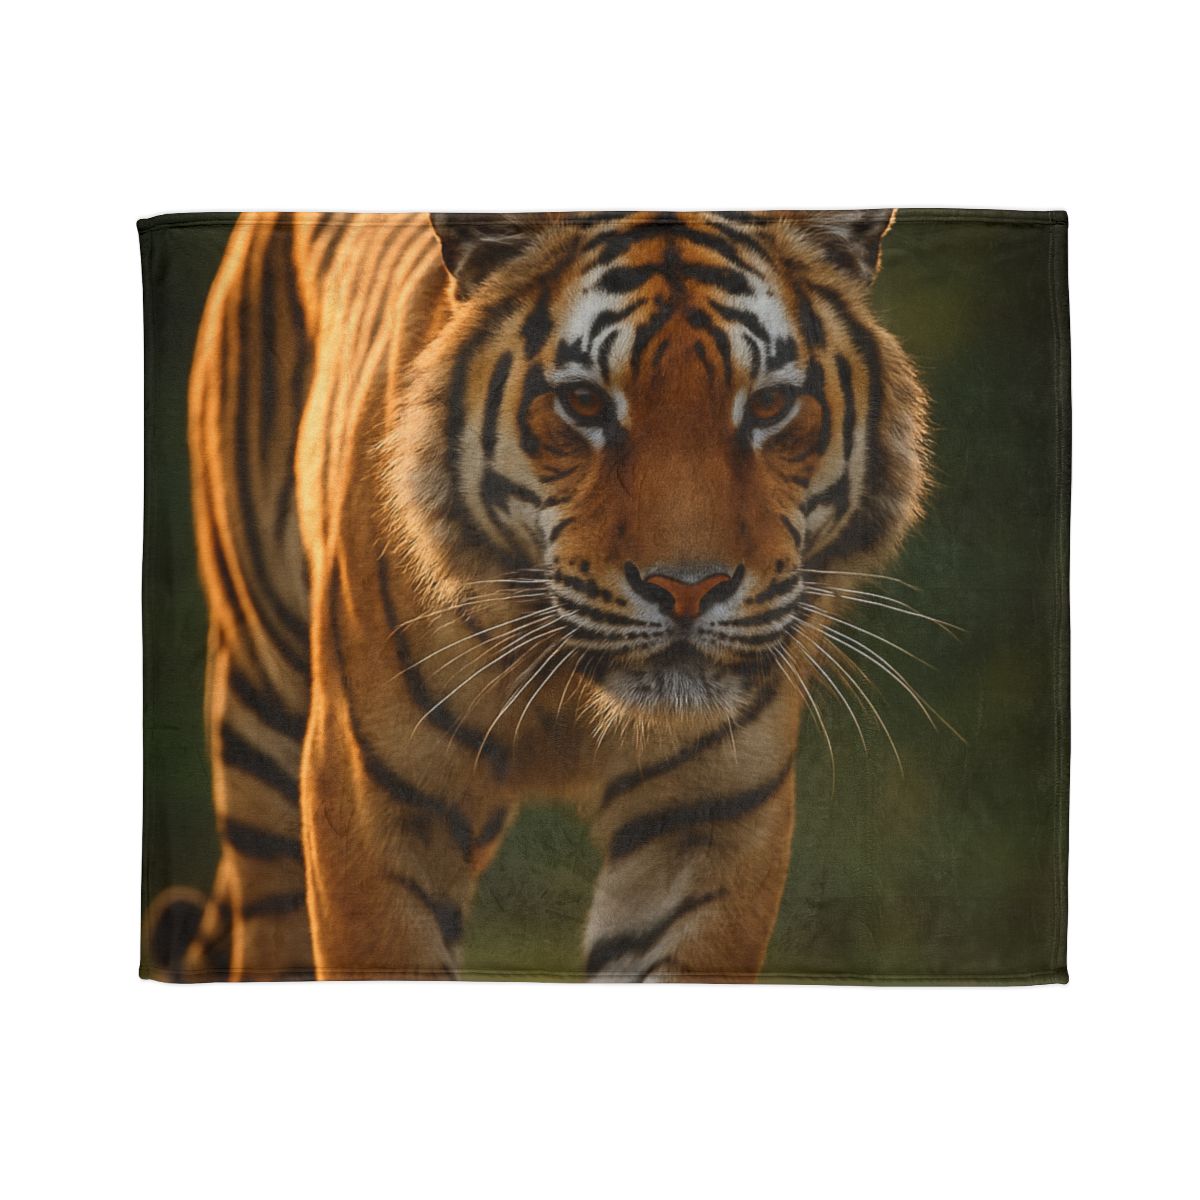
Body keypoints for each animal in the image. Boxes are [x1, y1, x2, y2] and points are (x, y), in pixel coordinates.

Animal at [144, 209, 931, 982]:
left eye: (768, 404)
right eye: (584, 401)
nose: (688, 589)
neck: (574, 698)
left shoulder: (710, 814)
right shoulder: (373, 798)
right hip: (262, 712)